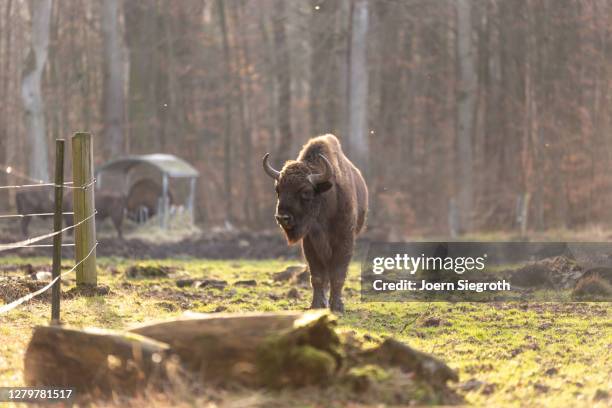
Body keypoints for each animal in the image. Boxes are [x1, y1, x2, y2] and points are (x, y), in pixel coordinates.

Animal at [262, 134, 368, 312]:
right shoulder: (310, 243)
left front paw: (337, 306)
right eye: (278, 189)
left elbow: (338, 275)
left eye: (306, 191)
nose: (283, 217)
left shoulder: (345, 241)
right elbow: (317, 276)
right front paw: (317, 305)